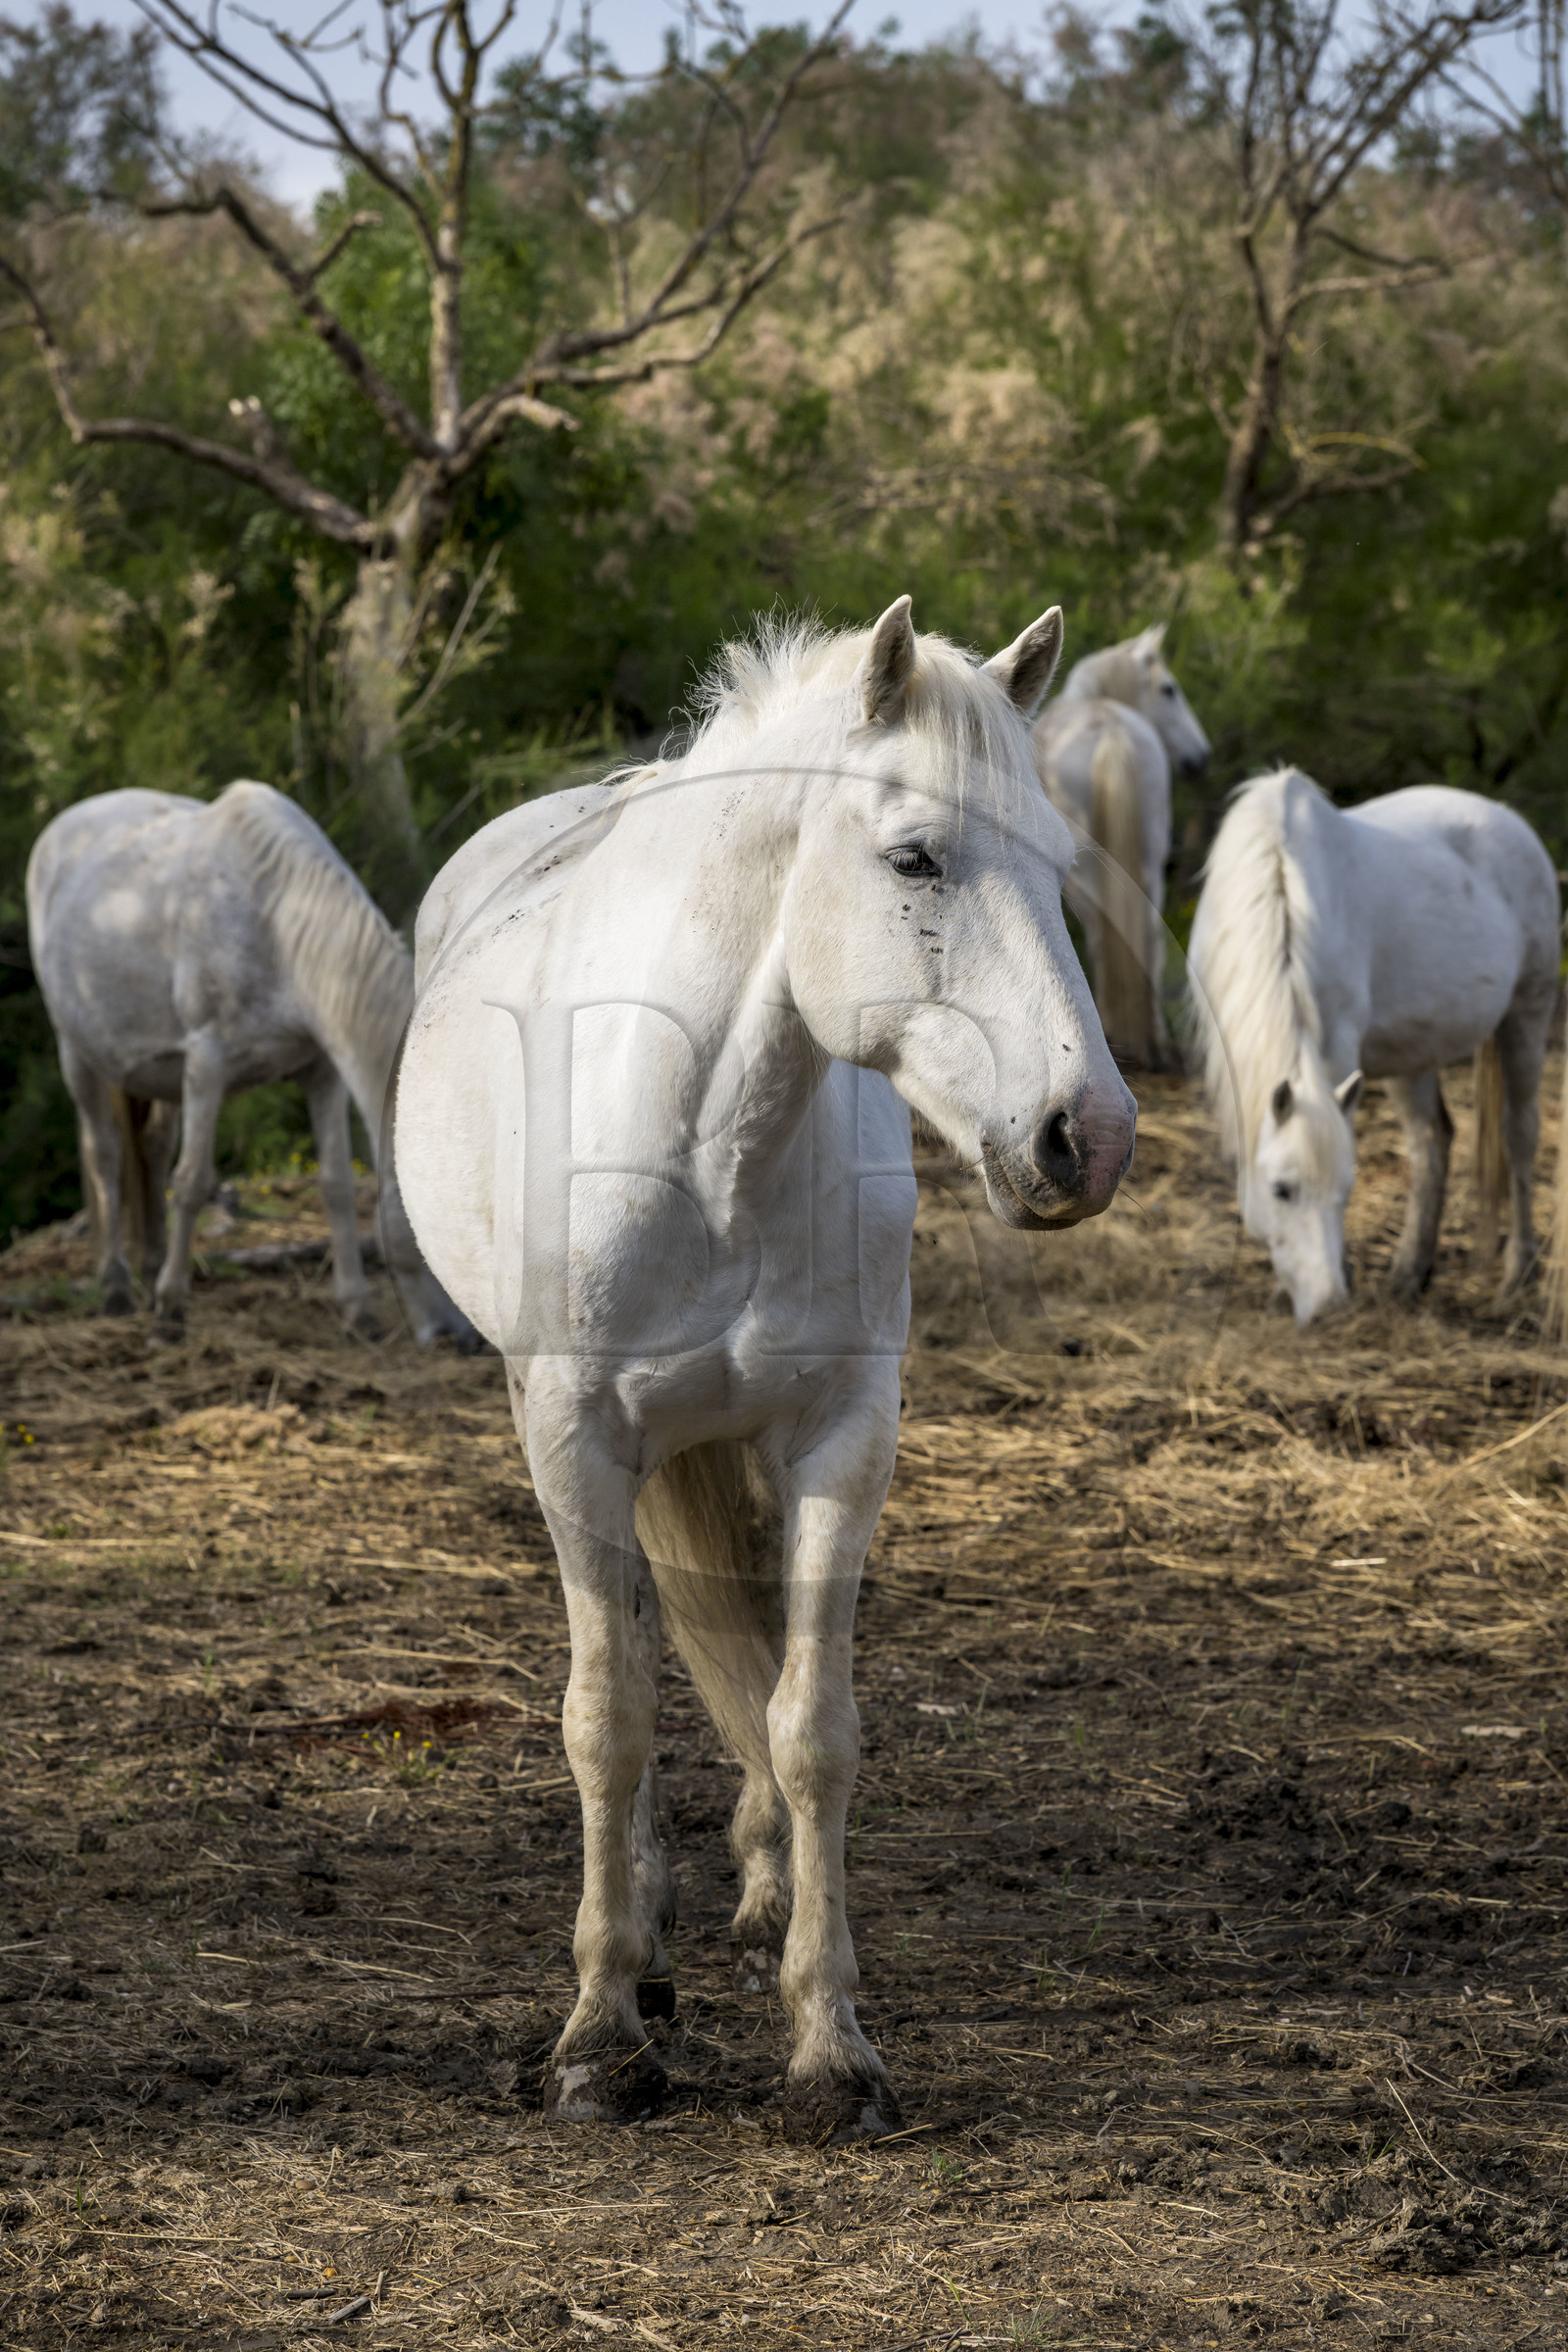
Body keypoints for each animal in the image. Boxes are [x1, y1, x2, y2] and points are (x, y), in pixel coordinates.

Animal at [27, 780, 473, 1347]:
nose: (467, 1339)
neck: (276, 925)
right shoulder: (206, 1063)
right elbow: (192, 1183)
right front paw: (170, 1314)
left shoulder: (321, 1072)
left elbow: (336, 1186)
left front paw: (358, 1314)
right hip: (77, 1051)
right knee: (103, 1155)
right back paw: (119, 1290)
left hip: (158, 1073)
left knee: (151, 1150)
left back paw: (150, 1272)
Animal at [396, 597, 1137, 2138]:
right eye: (914, 856)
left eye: (1055, 863)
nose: (1086, 1138)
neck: (703, 1143)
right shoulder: (577, 1442)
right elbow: (608, 1719)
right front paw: (600, 2035)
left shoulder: (842, 1441)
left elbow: (811, 1731)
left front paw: (828, 2043)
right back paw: (646, 1945)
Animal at [1032, 622, 1210, 1066]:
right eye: (1169, 689)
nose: (1202, 756)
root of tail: (1109, 727)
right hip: (1151, 860)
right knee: (1149, 934)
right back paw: (1155, 1039)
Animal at [1186, 768, 1561, 1328]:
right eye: (1281, 1190)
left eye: (1346, 1190)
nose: (1327, 1307)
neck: (1278, 884)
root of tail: (1513, 824)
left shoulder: (1336, 1047)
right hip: (1416, 1053)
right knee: (1431, 1143)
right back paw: (1409, 1274)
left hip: (1526, 1016)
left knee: (1519, 1136)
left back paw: (1519, 1273)